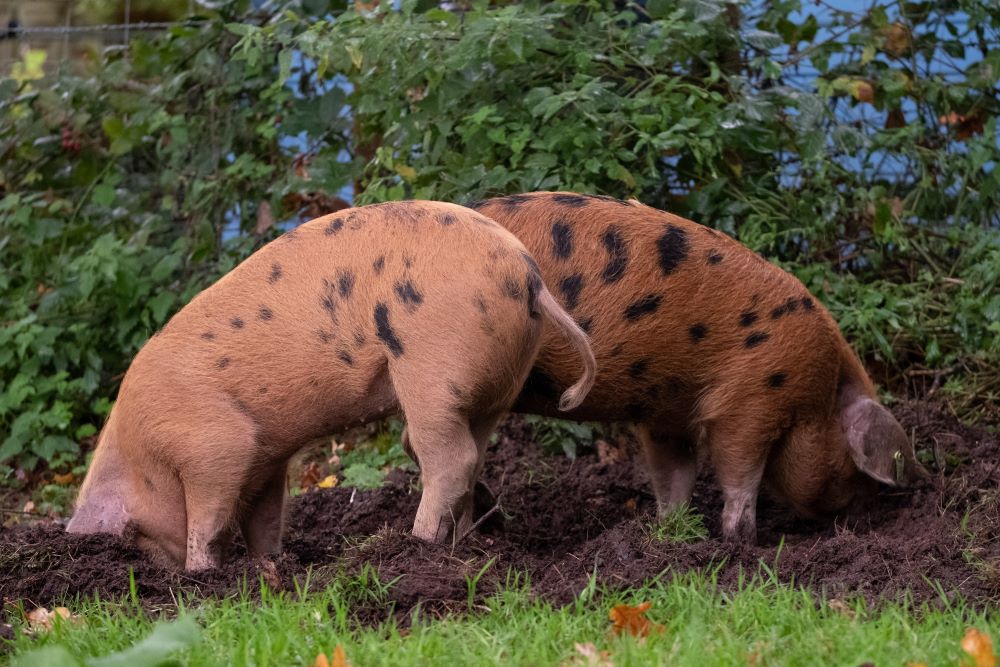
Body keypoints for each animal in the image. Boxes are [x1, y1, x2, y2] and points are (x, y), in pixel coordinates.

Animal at [68, 201, 592, 572]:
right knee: (476, 454)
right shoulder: (267, 458)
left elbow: (208, 518)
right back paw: (462, 544)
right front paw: (268, 563)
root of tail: (528, 277)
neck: (146, 453)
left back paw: (416, 543)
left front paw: (203, 575)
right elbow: (263, 518)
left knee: (449, 459)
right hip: (496, 385)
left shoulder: (215, 444)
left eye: (134, 534)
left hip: (432, 371)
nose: (163, 572)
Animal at [472, 192, 924, 544]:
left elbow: (676, 475)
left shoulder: (666, 412)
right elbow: (738, 473)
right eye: (854, 469)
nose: (857, 522)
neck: (819, 394)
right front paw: (742, 544)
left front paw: (671, 534)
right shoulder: (751, 399)